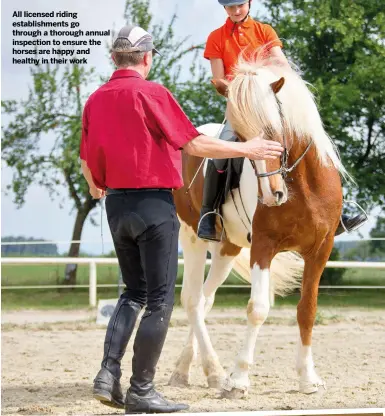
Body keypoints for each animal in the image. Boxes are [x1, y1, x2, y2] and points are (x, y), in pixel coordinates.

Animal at [168, 53, 344, 398]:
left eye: (276, 130)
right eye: (242, 140)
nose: (272, 194)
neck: (302, 186)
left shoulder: (320, 250)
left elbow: (307, 309)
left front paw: (308, 378)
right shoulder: (263, 246)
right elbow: (258, 308)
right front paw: (238, 379)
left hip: (226, 248)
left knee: (205, 300)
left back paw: (193, 369)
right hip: (193, 237)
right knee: (192, 300)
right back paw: (211, 371)